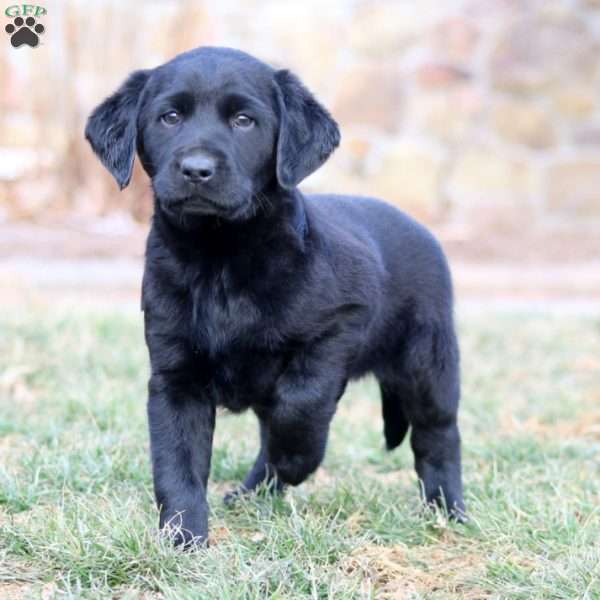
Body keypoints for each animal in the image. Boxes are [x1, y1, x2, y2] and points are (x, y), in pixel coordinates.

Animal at [86, 45, 466, 544]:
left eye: (244, 120)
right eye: (169, 117)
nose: (196, 170)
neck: (221, 257)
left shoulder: (339, 326)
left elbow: (302, 405)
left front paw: (297, 460)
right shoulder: (174, 374)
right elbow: (176, 462)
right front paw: (183, 537)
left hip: (428, 362)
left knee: (437, 435)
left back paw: (449, 510)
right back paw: (253, 495)